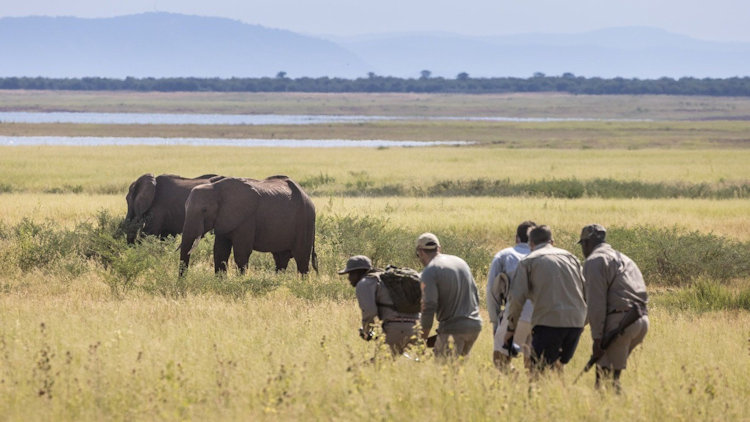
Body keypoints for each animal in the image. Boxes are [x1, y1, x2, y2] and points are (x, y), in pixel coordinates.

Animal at [181, 174, 318, 276]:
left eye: (204, 210)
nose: (182, 282)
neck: (216, 188)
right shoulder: (224, 219)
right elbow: (220, 252)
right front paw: (220, 282)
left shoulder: (247, 219)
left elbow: (241, 253)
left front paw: (240, 281)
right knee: (281, 259)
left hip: (305, 221)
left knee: (301, 259)